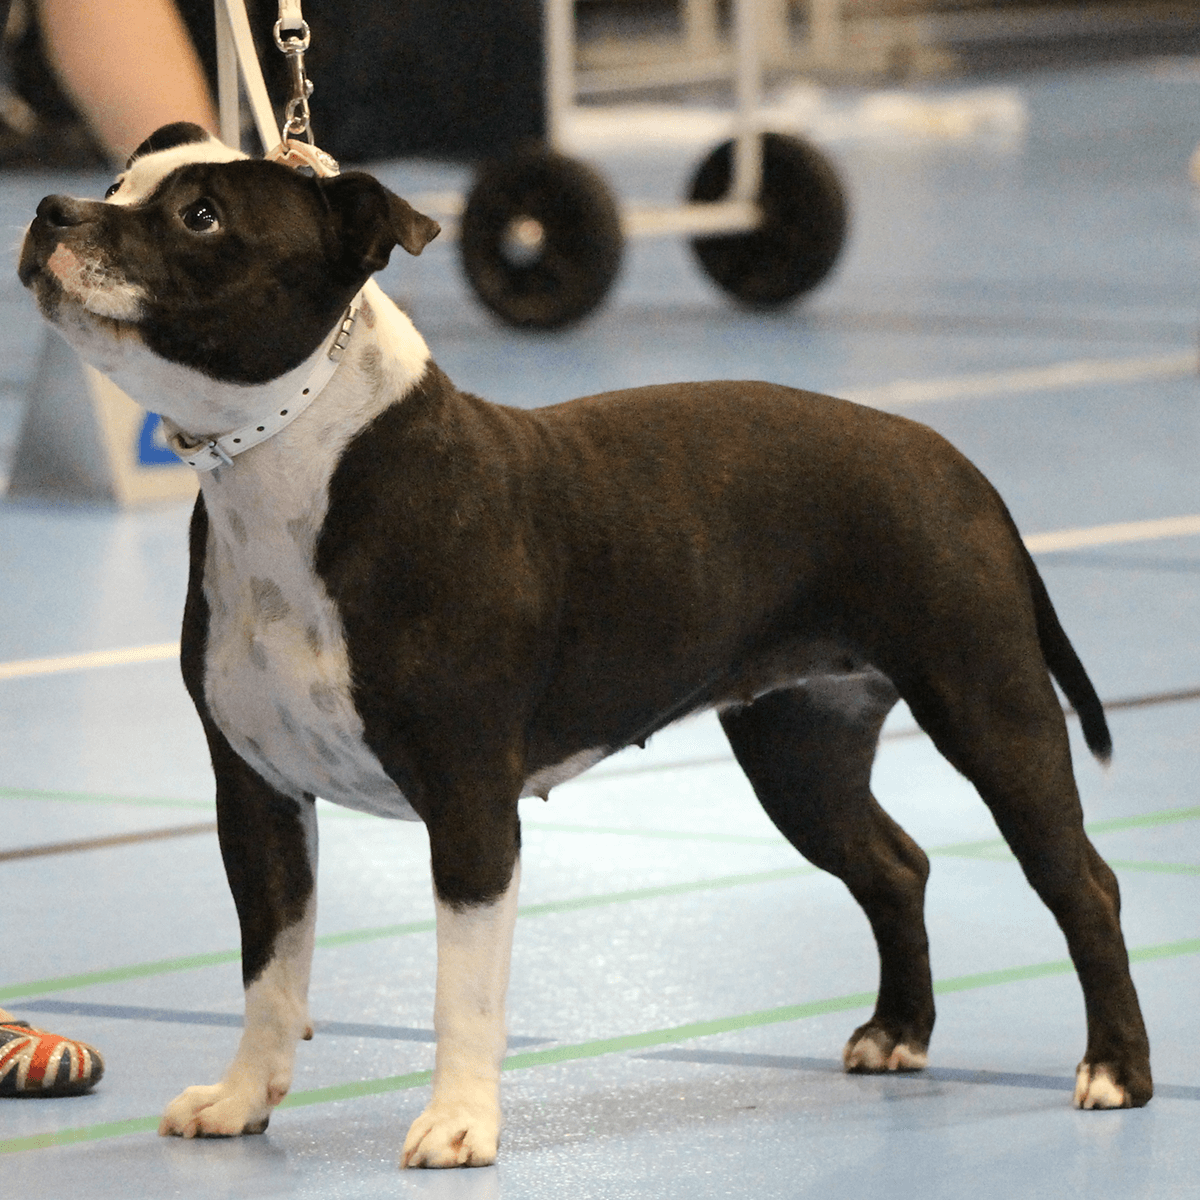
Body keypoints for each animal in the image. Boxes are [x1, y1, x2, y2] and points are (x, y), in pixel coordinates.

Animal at [14, 121, 1147, 1161]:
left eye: (199, 217)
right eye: (119, 180)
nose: (53, 210)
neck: (295, 462)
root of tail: (953, 462)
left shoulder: (469, 804)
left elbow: (462, 989)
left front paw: (460, 1125)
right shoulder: (256, 797)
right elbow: (269, 969)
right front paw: (243, 1100)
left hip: (992, 711)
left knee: (1081, 882)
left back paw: (1116, 1072)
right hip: (803, 751)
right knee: (894, 865)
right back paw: (898, 1034)